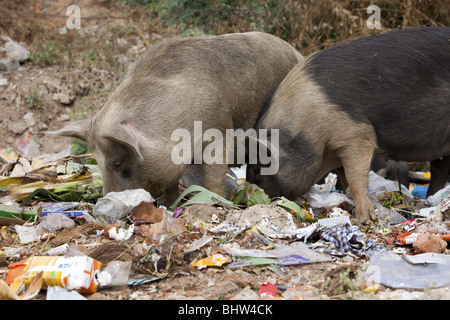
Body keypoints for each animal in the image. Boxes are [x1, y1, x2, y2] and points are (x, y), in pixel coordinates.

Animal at [47, 31, 304, 205]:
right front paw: (170, 205)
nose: (106, 203)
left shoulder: (218, 129)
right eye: (98, 163)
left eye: (119, 164)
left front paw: (213, 203)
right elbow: (170, 184)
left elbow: (214, 174)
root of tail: (296, 52)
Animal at [246, 26, 450, 222]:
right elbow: (344, 179)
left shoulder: (357, 135)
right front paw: (347, 205)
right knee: (439, 172)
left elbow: (355, 178)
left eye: (258, 170)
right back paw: (428, 202)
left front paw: (365, 219)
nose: (255, 201)